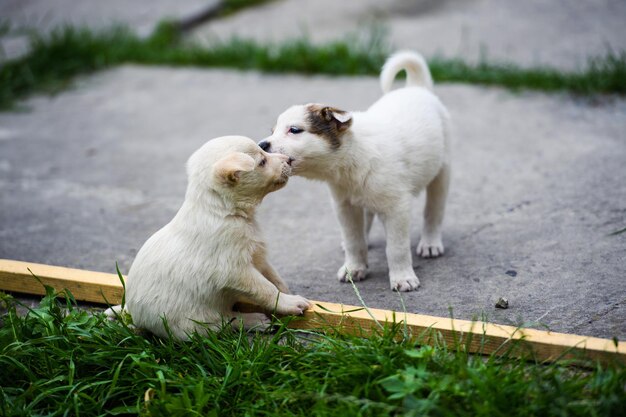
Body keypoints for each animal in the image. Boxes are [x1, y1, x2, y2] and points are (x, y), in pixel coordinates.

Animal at [109, 136, 312, 338]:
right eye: (262, 161)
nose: (288, 159)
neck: (224, 211)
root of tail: (135, 316)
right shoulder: (235, 269)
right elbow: (265, 288)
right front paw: (289, 302)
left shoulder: (257, 256)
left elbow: (274, 277)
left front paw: (287, 292)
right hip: (195, 324)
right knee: (227, 321)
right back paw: (255, 321)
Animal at [258, 52, 448, 290]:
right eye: (273, 131)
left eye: (294, 130)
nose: (262, 145)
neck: (352, 157)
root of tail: (416, 88)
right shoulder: (345, 206)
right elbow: (353, 240)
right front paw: (354, 268)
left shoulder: (397, 208)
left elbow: (396, 247)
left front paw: (403, 278)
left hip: (442, 172)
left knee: (434, 211)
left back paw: (431, 243)